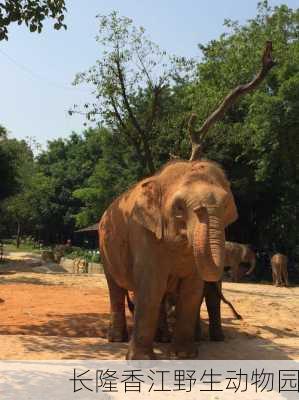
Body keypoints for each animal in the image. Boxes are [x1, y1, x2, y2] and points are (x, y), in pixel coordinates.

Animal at [99, 159, 238, 360]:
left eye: (226, 205)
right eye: (179, 207)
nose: (201, 208)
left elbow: (192, 291)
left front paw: (183, 355)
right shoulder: (143, 233)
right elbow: (151, 287)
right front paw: (141, 360)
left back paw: (162, 338)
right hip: (105, 252)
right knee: (115, 289)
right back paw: (117, 339)